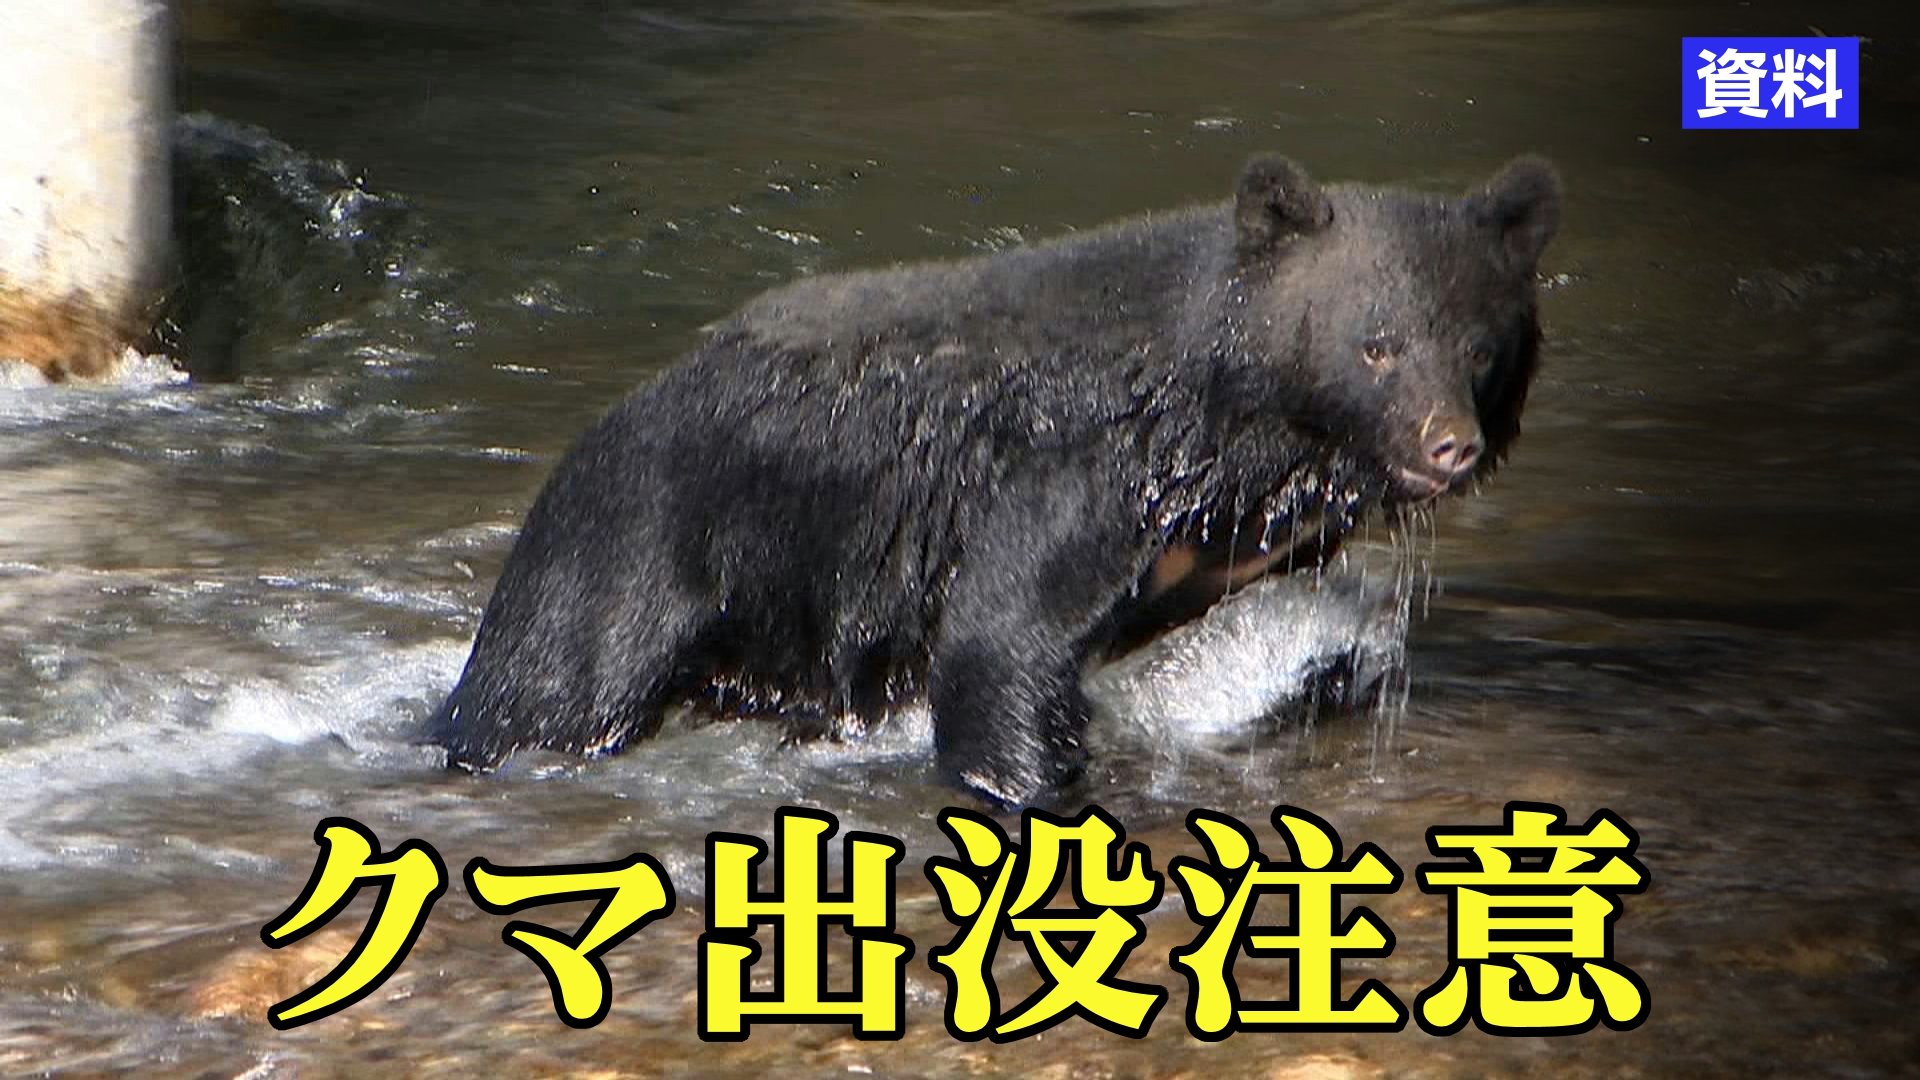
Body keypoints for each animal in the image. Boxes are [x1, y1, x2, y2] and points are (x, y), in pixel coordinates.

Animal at [429, 153, 1560, 807]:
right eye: (1378, 346)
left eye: (1479, 347)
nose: (1450, 445)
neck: (1247, 417)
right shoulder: (1086, 465)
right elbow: (1004, 631)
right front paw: (1028, 786)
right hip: (631, 549)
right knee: (546, 692)